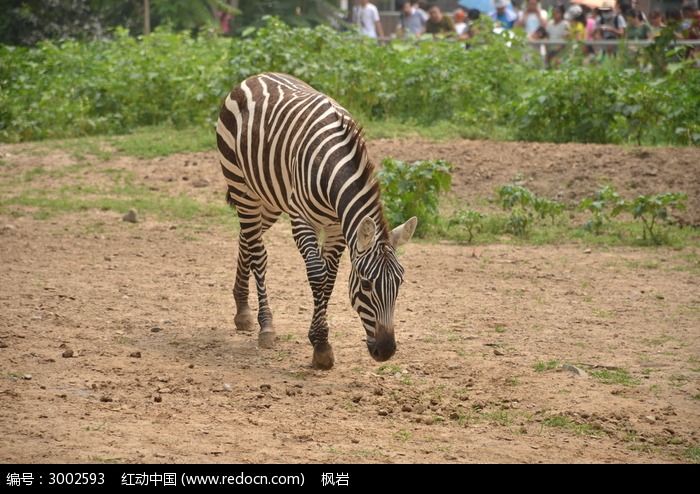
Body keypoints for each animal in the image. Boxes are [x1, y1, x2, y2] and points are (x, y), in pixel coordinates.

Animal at [216, 71, 416, 368]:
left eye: (399, 283)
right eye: (366, 284)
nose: (386, 351)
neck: (333, 166)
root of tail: (256, 76)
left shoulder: (336, 228)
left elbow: (330, 278)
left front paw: (320, 342)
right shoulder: (301, 220)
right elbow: (317, 274)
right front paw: (321, 345)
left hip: (269, 199)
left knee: (247, 238)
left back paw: (242, 310)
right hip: (242, 186)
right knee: (258, 253)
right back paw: (266, 325)